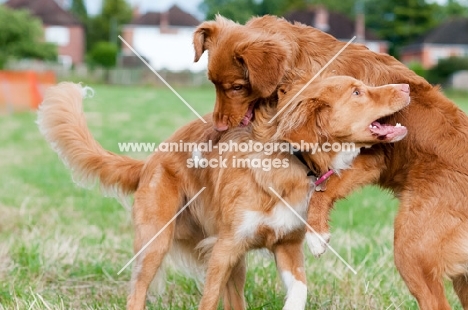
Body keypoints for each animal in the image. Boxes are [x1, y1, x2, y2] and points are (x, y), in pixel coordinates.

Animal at [37, 75, 410, 310]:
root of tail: (150, 160)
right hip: (157, 244)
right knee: (137, 293)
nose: (407, 86)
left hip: (236, 262)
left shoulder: (286, 247)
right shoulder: (224, 248)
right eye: (357, 92)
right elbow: (207, 300)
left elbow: (300, 290)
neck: (292, 158)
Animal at [194, 14, 468, 310]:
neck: (300, 67)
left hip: (411, 252)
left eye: (237, 87)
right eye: (213, 83)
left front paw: (316, 235)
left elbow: (325, 189)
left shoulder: (368, 158)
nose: (220, 127)